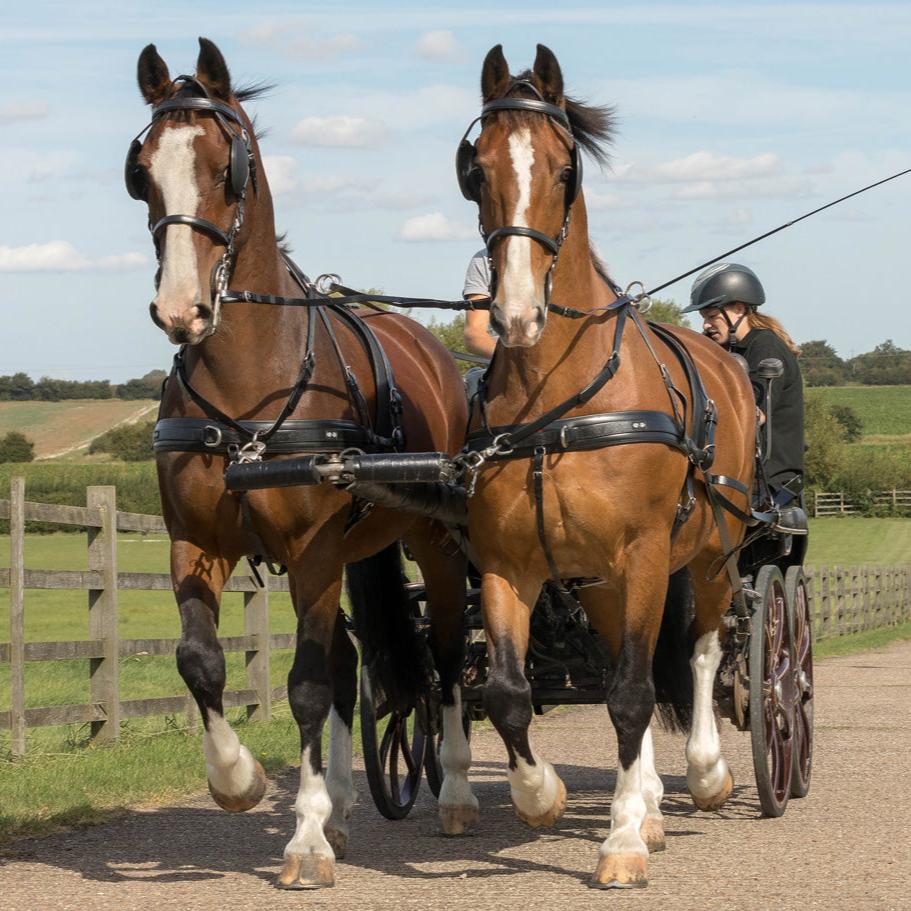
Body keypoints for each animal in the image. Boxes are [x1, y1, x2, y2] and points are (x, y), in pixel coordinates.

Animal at [128, 39, 478, 888]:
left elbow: (309, 687)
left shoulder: (314, 556)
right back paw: (346, 806)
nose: (180, 309)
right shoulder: (196, 542)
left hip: (433, 543)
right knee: (357, 661)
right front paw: (239, 780)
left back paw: (453, 791)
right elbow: (200, 661)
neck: (246, 393)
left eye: (227, 167)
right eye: (142, 169)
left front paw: (306, 839)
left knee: (445, 655)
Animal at [460, 44, 760, 892]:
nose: (515, 314)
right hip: (599, 582)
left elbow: (631, 692)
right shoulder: (510, 564)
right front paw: (542, 796)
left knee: (697, 652)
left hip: (710, 553)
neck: (558, 401)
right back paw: (651, 800)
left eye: (564, 170)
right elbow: (507, 693)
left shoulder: (647, 552)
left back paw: (701, 775)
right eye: (476, 168)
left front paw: (621, 839)